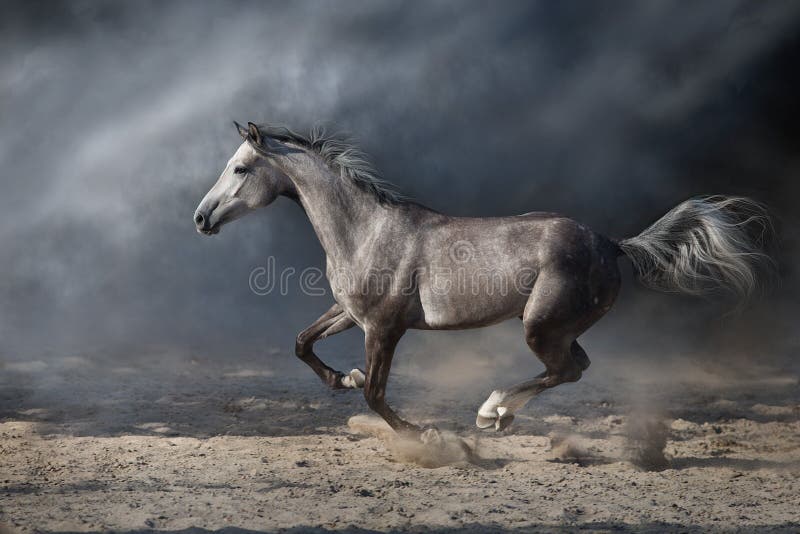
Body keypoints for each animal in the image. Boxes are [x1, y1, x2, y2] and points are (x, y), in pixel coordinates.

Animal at [194, 121, 773, 437]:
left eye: (240, 169)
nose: (201, 218)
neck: (366, 229)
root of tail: (612, 244)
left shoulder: (384, 328)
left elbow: (377, 396)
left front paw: (422, 434)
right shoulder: (352, 314)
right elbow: (302, 343)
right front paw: (344, 377)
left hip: (540, 327)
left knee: (567, 370)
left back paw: (491, 410)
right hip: (556, 327)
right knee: (576, 368)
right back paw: (500, 415)